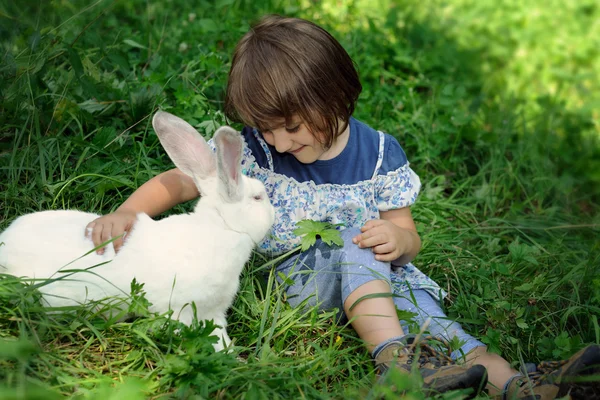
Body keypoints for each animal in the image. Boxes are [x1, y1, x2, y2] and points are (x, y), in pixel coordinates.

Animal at [0, 111, 276, 352]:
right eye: (258, 197)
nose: (274, 214)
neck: (222, 228)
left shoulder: (214, 313)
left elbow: (219, 336)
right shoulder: (181, 309)